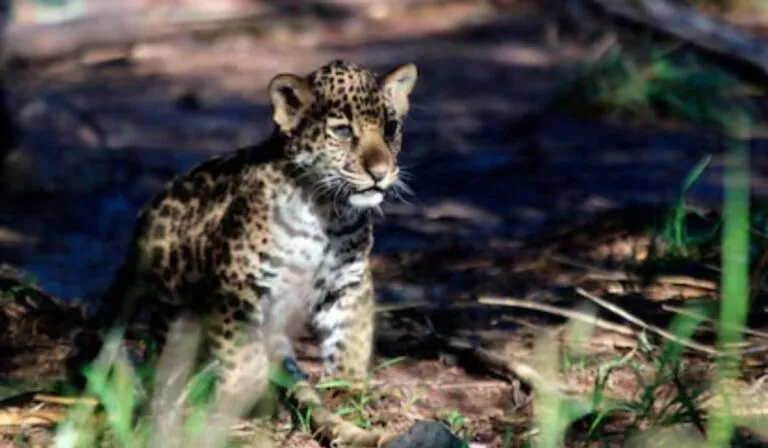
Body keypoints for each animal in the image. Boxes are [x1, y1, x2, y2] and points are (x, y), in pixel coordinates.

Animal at [91, 59, 419, 420]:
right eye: (343, 131)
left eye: (391, 128)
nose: (381, 172)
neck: (327, 214)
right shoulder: (238, 285)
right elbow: (243, 355)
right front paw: (243, 397)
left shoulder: (346, 280)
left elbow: (350, 337)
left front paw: (349, 388)